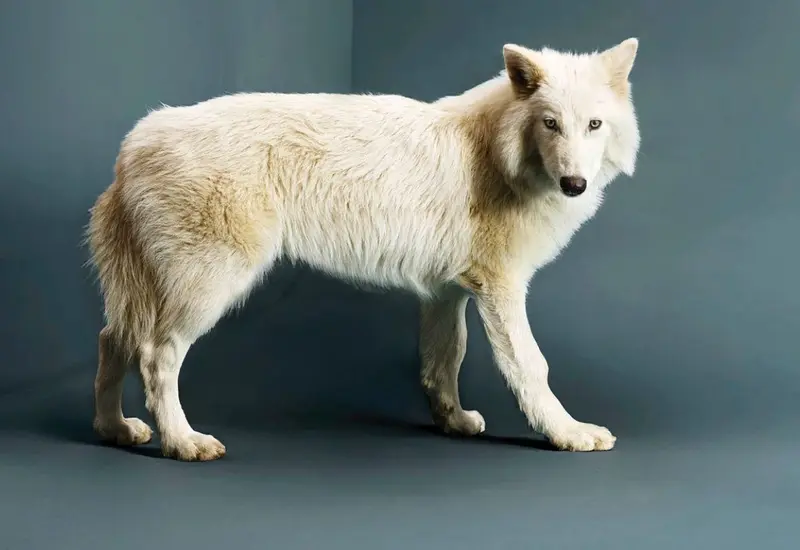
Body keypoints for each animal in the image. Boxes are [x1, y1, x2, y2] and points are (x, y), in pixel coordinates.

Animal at [86, 38, 641, 461]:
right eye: (550, 123)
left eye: (593, 125)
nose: (574, 184)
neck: (497, 154)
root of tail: (134, 143)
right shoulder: (501, 289)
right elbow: (532, 366)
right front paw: (569, 434)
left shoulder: (446, 294)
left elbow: (445, 362)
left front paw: (454, 421)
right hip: (209, 288)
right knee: (155, 356)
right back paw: (183, 442)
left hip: (149, 292)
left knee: (112, 340)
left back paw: (114, 430)